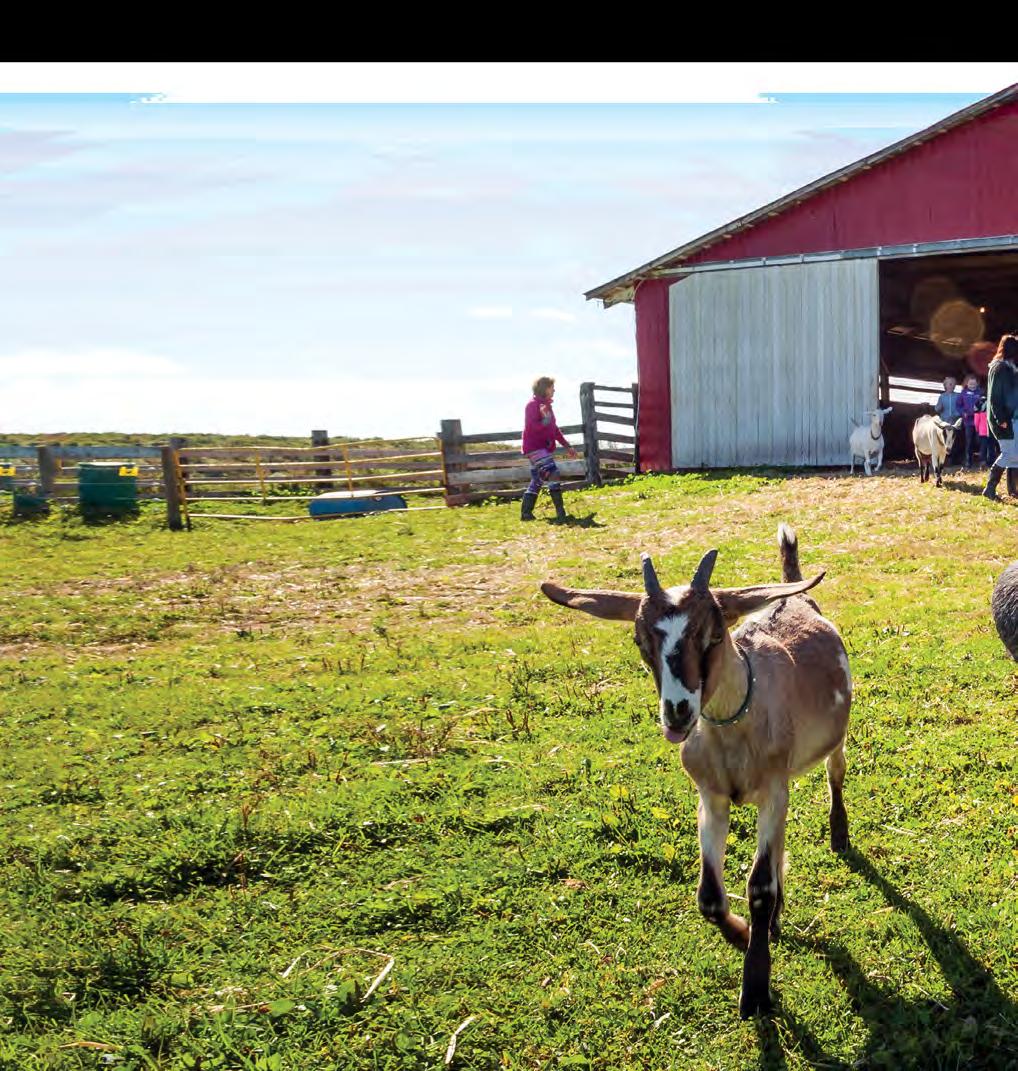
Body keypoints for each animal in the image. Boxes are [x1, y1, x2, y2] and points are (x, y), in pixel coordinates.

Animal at [541, 524, 851, 1018]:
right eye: (640, 642)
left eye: (715, 634)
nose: (678, 712)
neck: (735, 724)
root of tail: (795, 596)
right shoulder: (712, 797)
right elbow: (708, 895)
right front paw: (744, 933)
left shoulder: (771, 790)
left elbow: (759, 887)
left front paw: (755, 987)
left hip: (833, 741)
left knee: (835, 774)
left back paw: (838, 834)